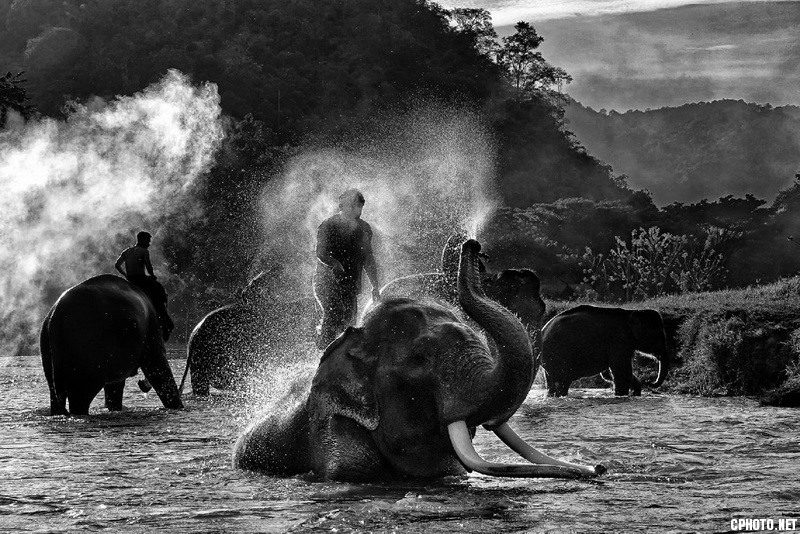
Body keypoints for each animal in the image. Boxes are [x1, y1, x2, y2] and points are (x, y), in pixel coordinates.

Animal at [40, 274, 183, 415]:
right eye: (164, 300)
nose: (141, 384)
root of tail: (56, 316)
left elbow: (115, 387)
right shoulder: (151, 327)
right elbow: (157, 367)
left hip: (47, 345)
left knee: (55, 392)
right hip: (86, 346)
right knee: (81, 395)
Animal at [541, 305, 670, 397]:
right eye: (659, 336)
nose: (648, 381)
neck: (633, 312)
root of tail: (543, 331)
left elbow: (608, 373)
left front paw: (636, 392)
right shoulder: (620, 340)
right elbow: (621, 370)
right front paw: (621, 395)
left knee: (551, 381)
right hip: (559, 355)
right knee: (563, 381)